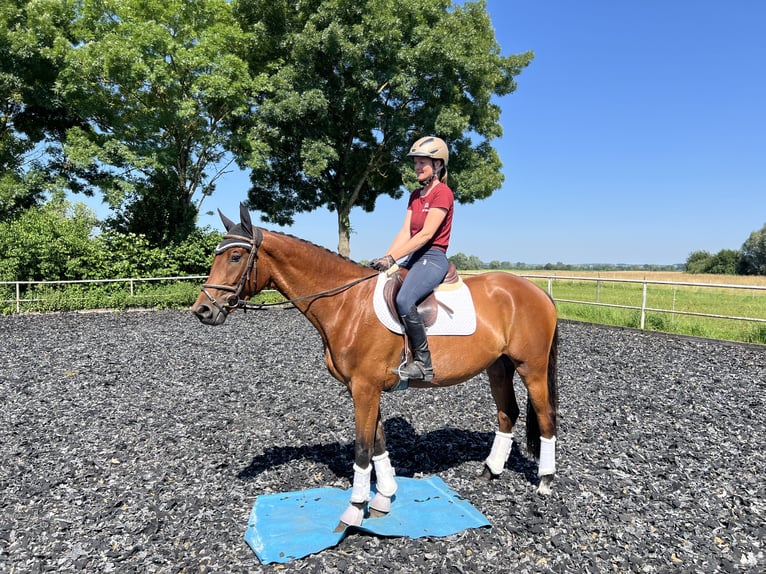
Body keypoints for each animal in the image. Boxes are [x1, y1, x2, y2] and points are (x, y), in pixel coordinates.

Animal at [195, 206, 560, 532]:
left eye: (235, 257)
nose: (202, 310)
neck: (347, 304)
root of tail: (536, 292)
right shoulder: (363, 388)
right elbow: (379, 442)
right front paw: (384, 498)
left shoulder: (364, 388)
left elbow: (362, 448)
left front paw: (354, 512)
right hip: (498, 367)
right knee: (507, 413)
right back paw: (490, 471)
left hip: (531, 367)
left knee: (544, 416)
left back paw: (545, 481)